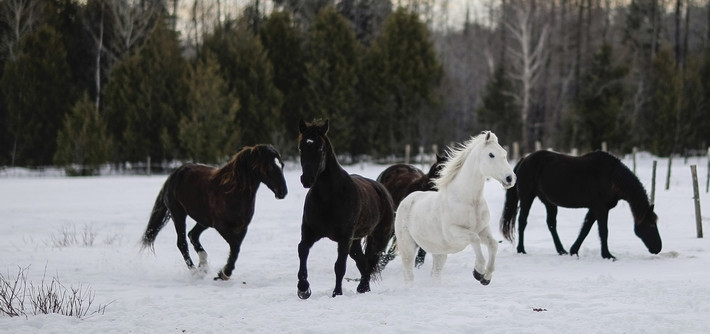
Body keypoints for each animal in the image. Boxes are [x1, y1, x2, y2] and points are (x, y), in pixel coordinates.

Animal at [140, 145, 288, 280]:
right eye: (269, 167)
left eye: (282, 165)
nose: (283, 192)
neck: (233, 192)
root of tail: (174, 174)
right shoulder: (221, 226)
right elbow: (235, 247)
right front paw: (224, 273)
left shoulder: (242, 227)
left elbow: (236, 249)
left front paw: (223, 273)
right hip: (178, 214)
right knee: (182, 242)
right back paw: (196, 273)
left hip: (204, 221)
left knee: (193, 235)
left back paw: (203, 266)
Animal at [294, 118, 394, 298]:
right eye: (301, 147)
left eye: (320, 147)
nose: (307, 179)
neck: (328, 199)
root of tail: (382, 189)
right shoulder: (310, 233)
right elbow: (302, 250)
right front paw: (303, 288)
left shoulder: (344, 238)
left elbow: (339, 266)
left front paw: (337, 293)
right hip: (354, 243)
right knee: (363, 263)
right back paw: (363, 288)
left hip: (377, 238)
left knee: (370, 261)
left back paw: (363, 287)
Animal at [394, 130, 516, 284]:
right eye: (491, 154)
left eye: (504, 153)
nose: (510, 178)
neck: (469, 201)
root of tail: (407, 200)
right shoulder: (454, 232)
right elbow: (474, 239)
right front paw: (478, 272)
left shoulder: (483, 230)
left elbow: (493, 244)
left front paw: (486, 277)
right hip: (408, 247)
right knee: (408, 273)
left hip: (439, 253)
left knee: (435, 274)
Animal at [500, 150, 660, 260]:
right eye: (651, 225)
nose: (658, 248)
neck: (611, 178)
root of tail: (524, 159)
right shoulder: (601, 209)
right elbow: (603, 231)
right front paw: (607, 255)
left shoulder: (595, 209)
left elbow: (585, 229)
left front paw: (574, 250)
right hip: (527, 198)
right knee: (522, 221)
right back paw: (521, 250)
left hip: (549, 202)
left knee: (551, 224)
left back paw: (561, 250)